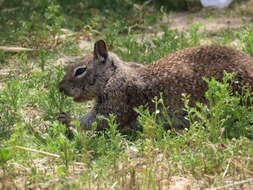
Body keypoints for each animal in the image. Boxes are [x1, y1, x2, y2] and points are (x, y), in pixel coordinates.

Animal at [58, 40, 253, 132]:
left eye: (80, 70)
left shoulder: (116, 100)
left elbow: (100, 119)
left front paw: (66, 119)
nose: (60, 87)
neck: (114, 75)